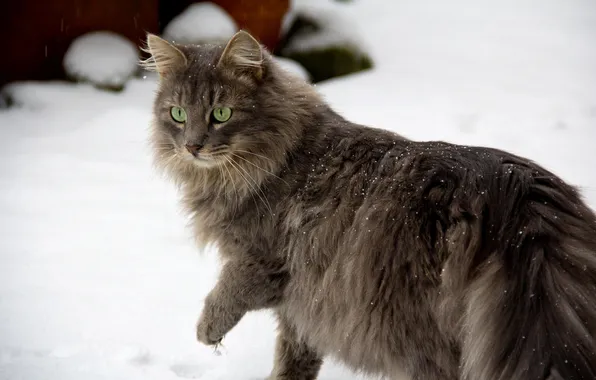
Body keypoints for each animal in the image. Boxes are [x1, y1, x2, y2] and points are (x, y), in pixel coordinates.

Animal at [142, 30, 596, 380]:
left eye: (221, 113)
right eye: (178, 114)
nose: (192, 145)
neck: (281, 153)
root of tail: (516, 192)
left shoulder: (264, 261)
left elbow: (226, 293)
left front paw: (207, 330)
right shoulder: (303, 304)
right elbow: (294, 357)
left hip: (419, 336)